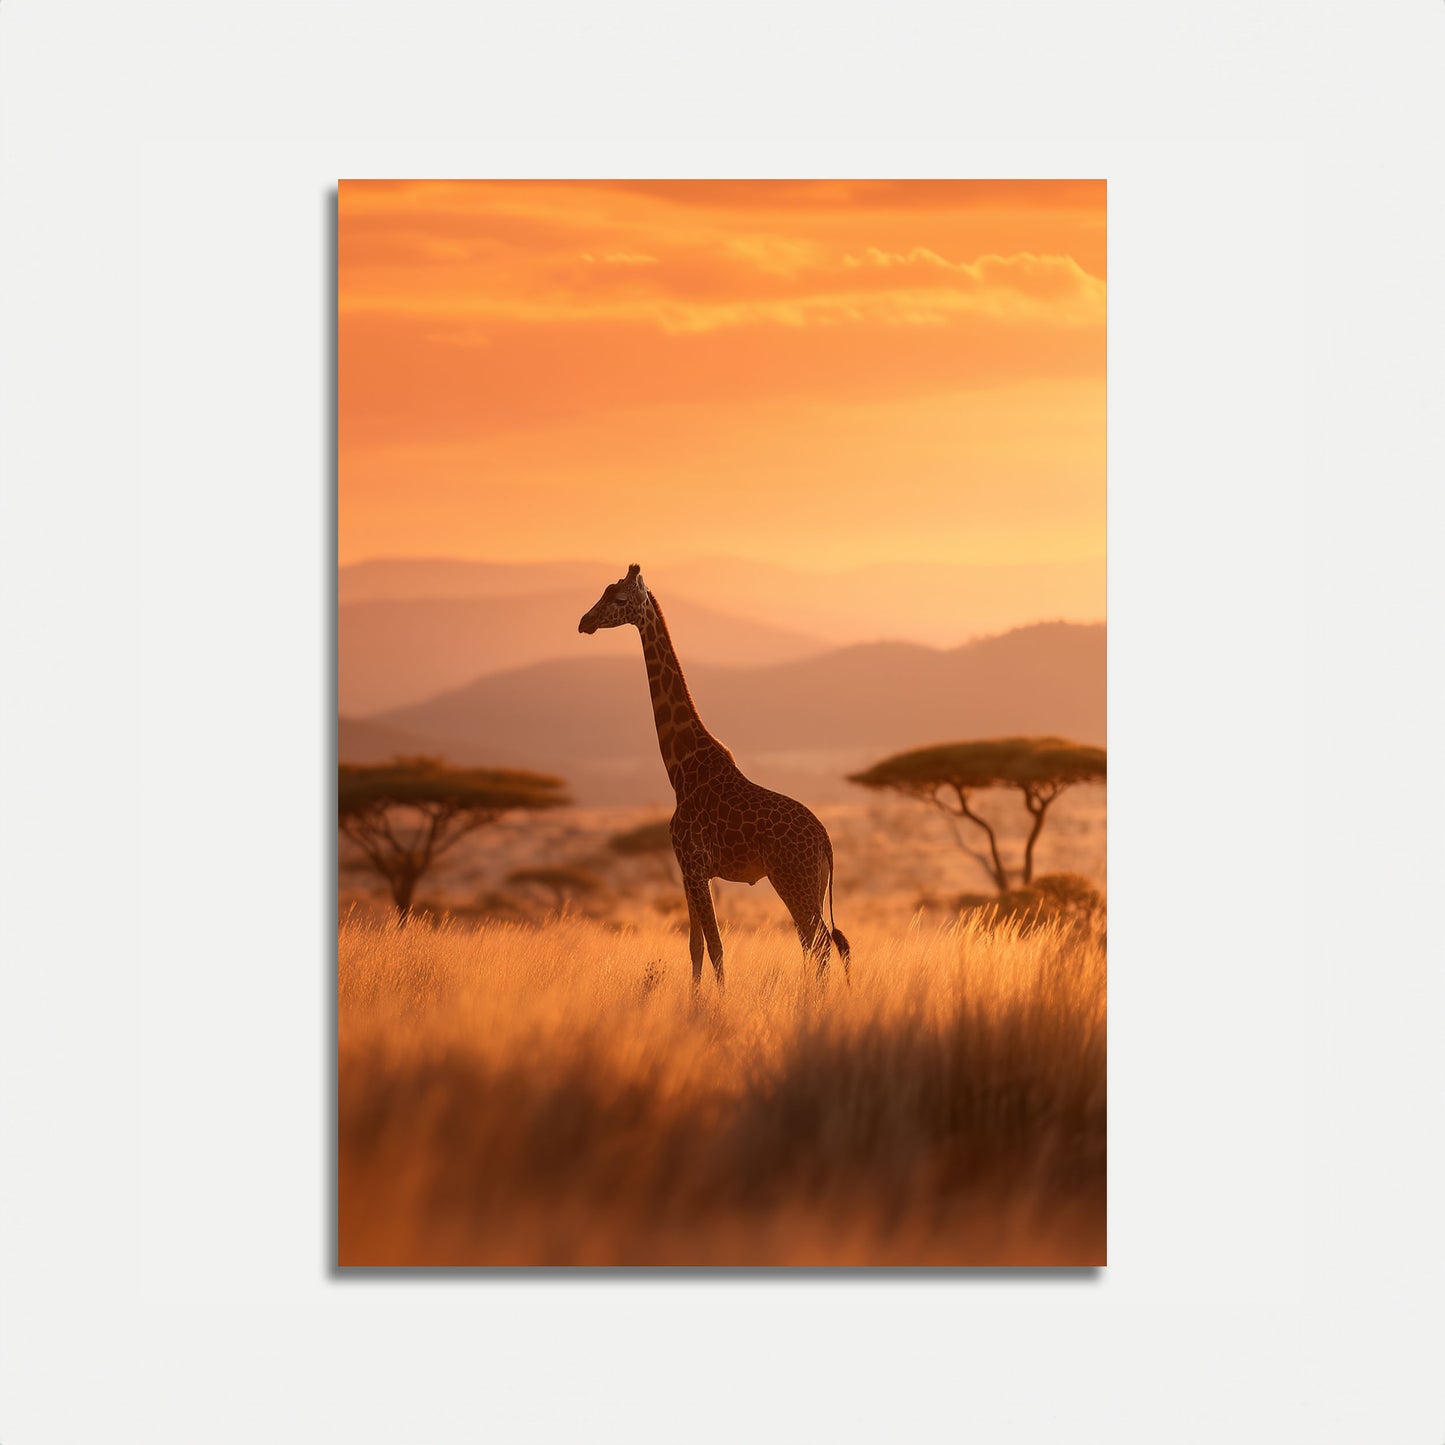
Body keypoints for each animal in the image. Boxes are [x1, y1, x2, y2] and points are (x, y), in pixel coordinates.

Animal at [579, 564, 850, 993]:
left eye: (619, 599)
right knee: (818, 943)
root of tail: (826, 842)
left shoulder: (693, 864)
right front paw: (696, 1001)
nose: (584, 622)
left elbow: (716, 946)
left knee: (820, 943)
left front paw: (719, 1003)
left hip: (794, 882)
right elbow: (695, 946)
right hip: (810, 886)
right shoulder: (687, 870)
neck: (680, 769)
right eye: (603, 592)